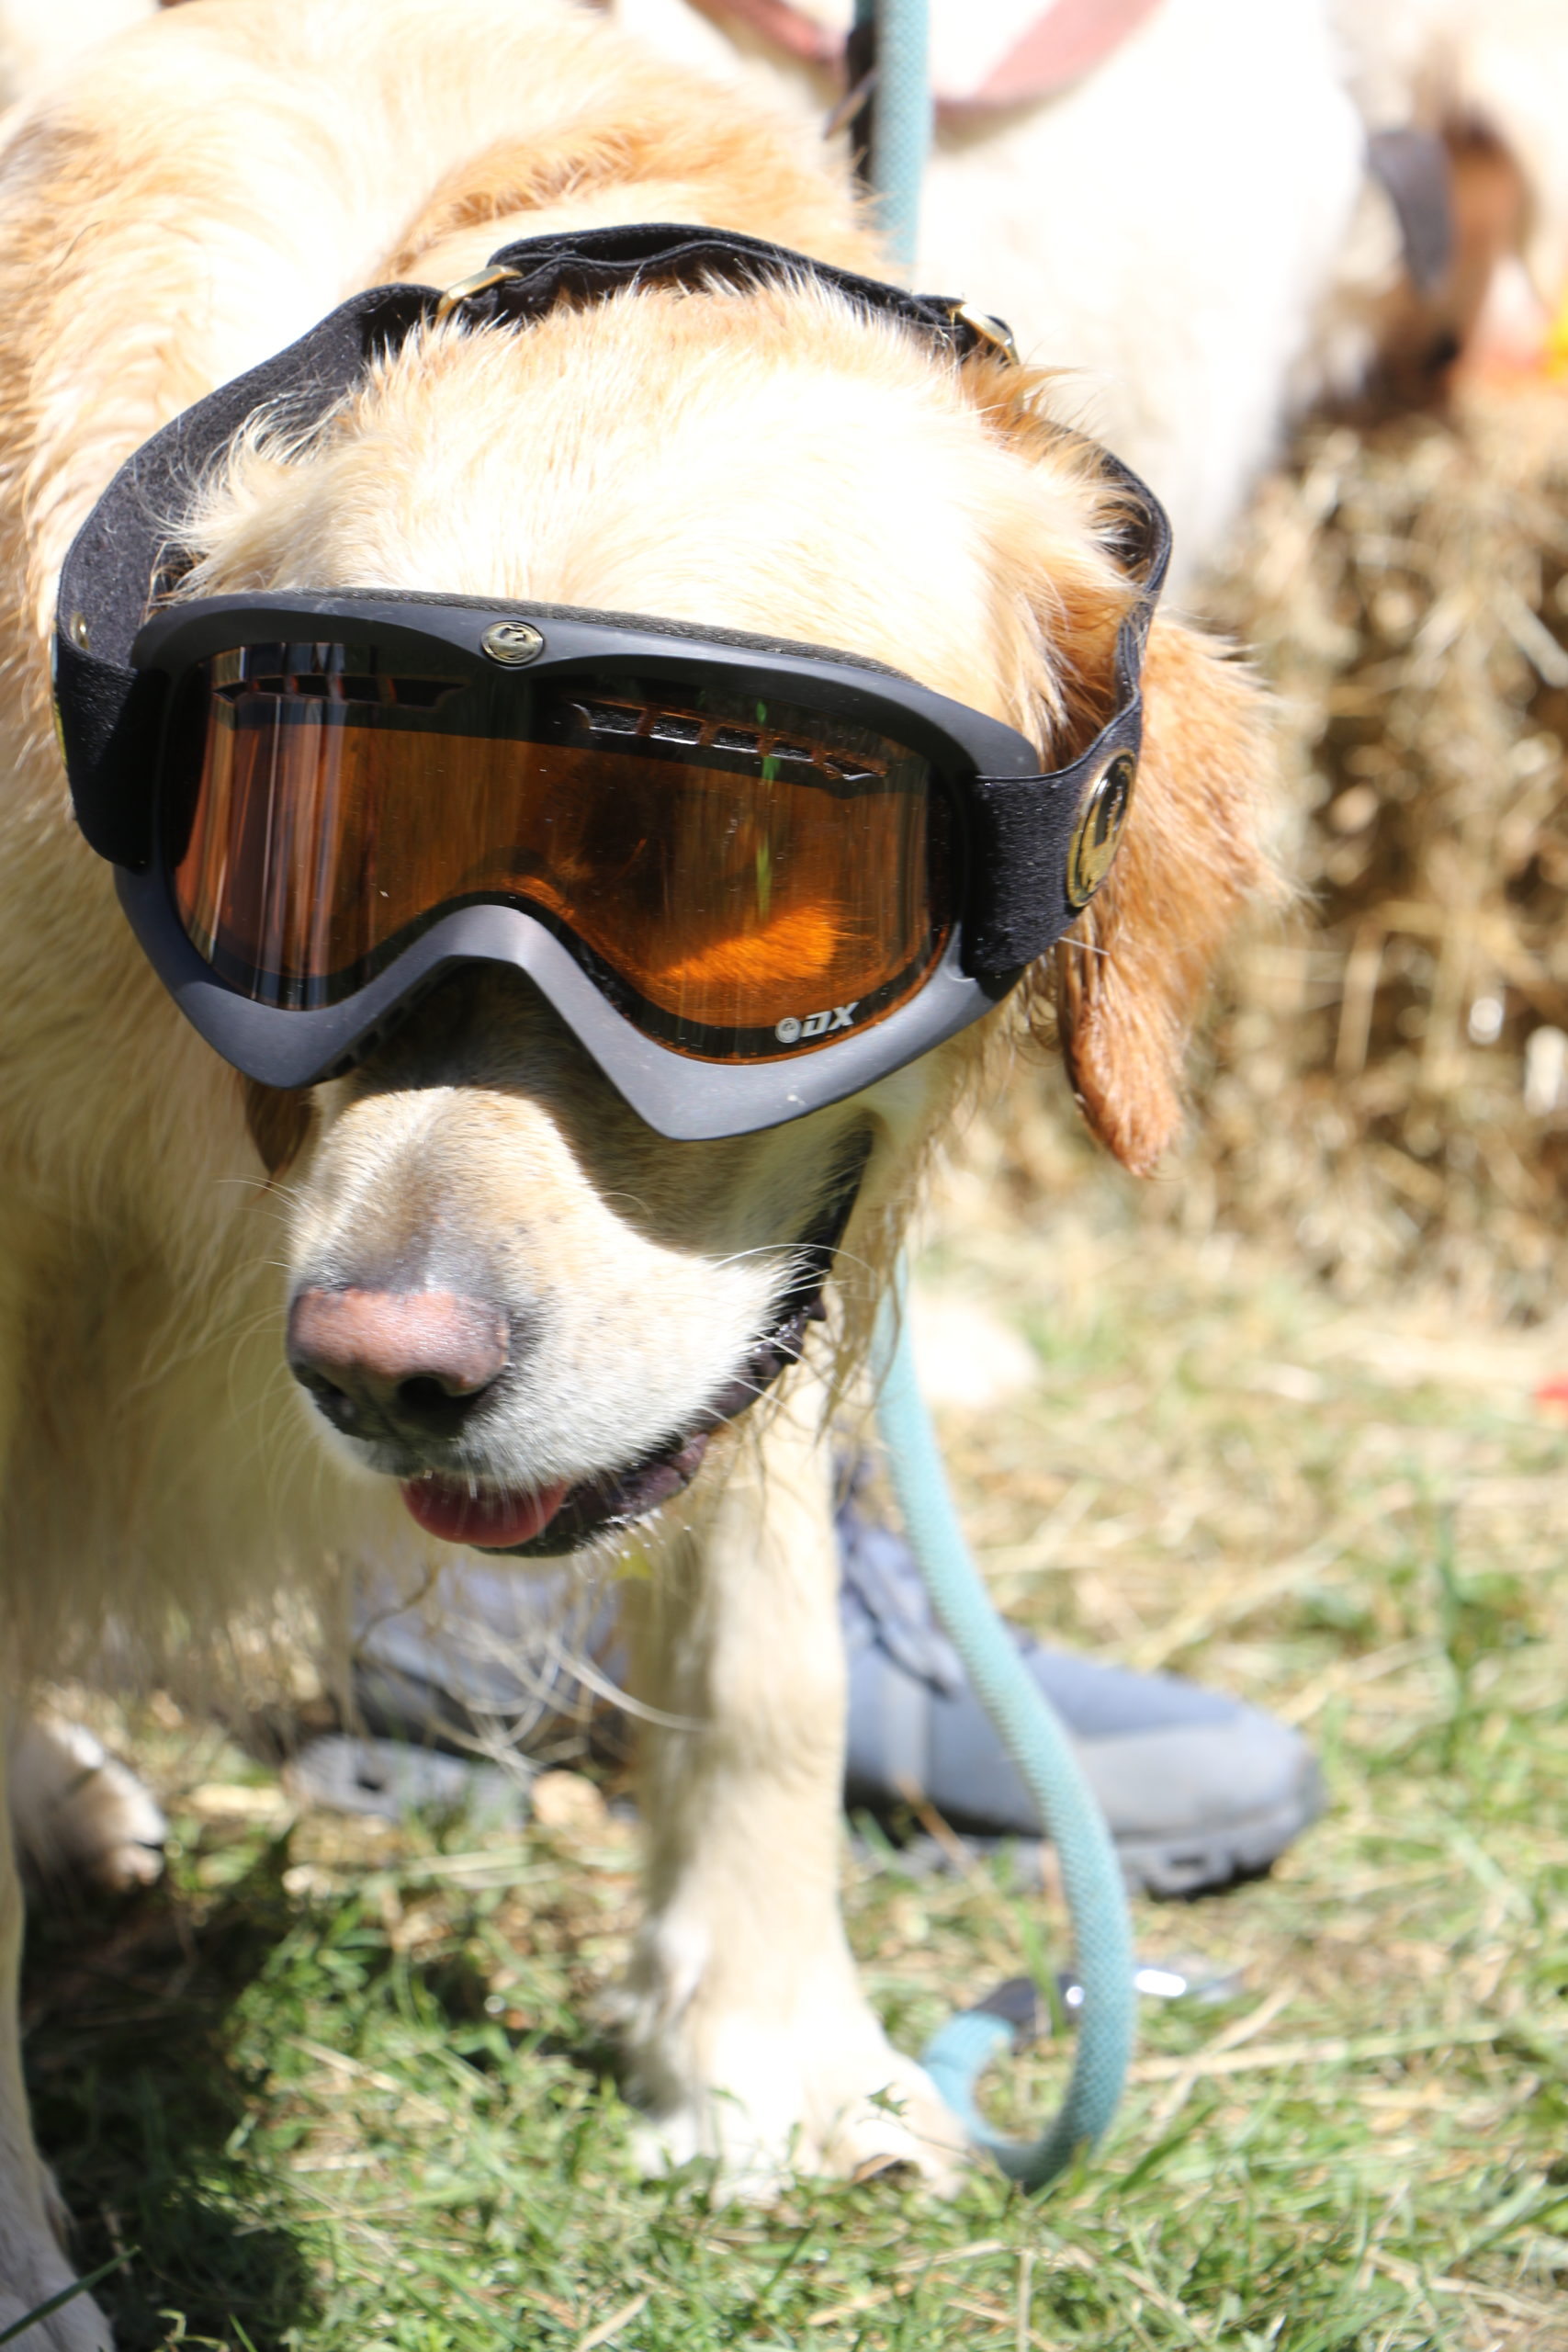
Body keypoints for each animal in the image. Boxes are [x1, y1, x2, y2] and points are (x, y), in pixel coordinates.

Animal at [0, 0, 1274, 2336]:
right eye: (328, 845)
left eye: (737, 879)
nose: (386, 1361)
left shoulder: (760, 1248)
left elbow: (769, 1647)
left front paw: (763, 2059)